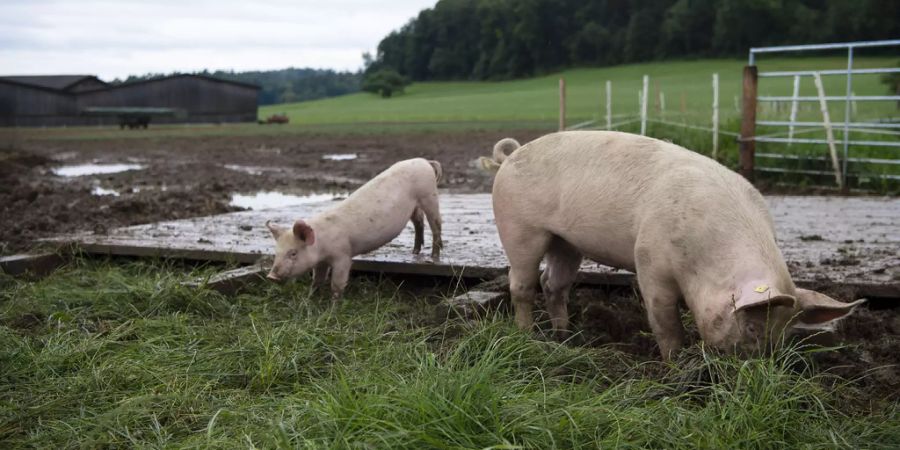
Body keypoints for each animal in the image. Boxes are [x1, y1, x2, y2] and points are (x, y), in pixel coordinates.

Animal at [264, 156, 442, 300]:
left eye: (293, 253)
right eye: (276, 252)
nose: (271, 276)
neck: (321, 243)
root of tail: (425, 161)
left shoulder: (343, 256)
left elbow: (337, 284)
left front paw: (333, 309)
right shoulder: (321, 262)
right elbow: (317, 281)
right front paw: (308, 300)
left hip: (429, 195)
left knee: (436, 224)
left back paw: (434, 256)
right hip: (415, 205)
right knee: (419, 222)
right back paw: (415, 252)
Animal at [486, 130, 864, 358]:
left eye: (783, 333)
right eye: (751, 326)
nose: (748, 368)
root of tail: (510, 156)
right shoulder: (650, 262)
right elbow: (665, 322)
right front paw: (676, 364)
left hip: (566, 242)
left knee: (554, 284)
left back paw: (566, 337)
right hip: (519, 229)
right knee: (522, 284)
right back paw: (528, 336)